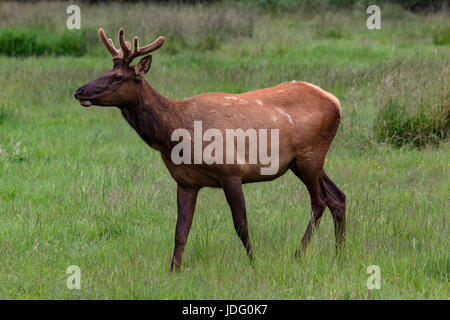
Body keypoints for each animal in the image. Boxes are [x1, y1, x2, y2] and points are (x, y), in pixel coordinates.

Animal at [74, 28, 348, 272]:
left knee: (319, 201)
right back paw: (339, 253)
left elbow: (241, 225)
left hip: (310, 154)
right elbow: (181, 229)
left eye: (118, 77)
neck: (177, 134)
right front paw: (173, 270)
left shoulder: (231, 171)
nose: (79, 91)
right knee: (338, 196)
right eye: (108, 70)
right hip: (300, 162)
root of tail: (336, 102)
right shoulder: (185, 181)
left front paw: (254, 264)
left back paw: (299, 254)